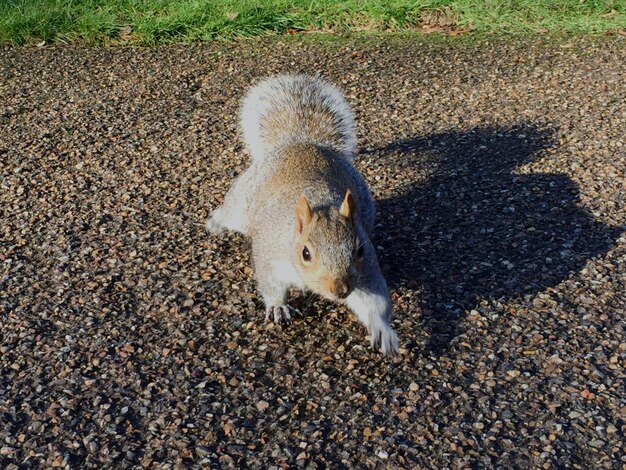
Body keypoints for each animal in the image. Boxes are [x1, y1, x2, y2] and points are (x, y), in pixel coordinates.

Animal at [207, 73, 398, 354]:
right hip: (242, 200)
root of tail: (301, 143)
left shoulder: (366, 270)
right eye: (305, 253)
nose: (340, 290)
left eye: (359, 250)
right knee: (230, 211)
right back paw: (215, 222)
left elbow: (375, 300)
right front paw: (278, 306)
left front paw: (382, 330)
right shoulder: (269, 254)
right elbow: (270, 283)